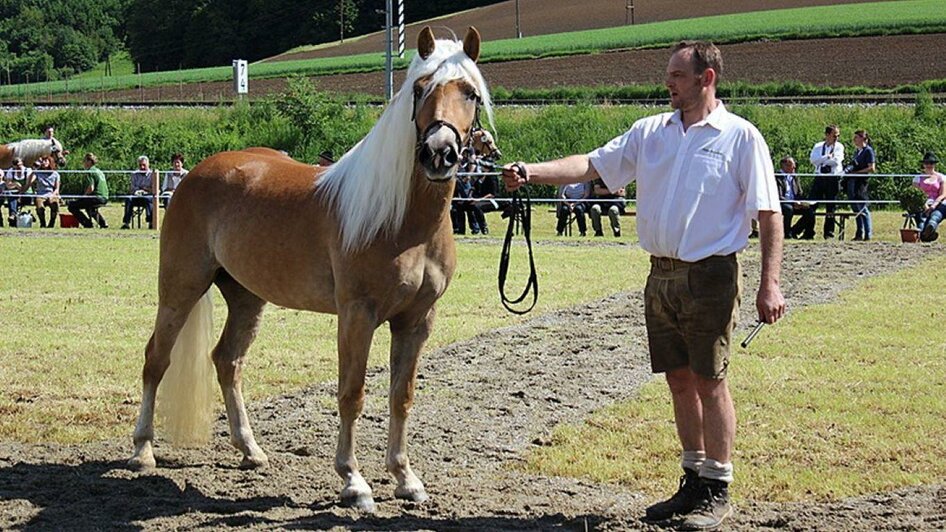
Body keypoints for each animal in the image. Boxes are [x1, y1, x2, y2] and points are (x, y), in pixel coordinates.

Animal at [130, 26, 494, 512]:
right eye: (420, 89)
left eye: (470, 93)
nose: (440, 153)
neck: (404, 219)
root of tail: (196, 173)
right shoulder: (357, 314)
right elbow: (352, 394)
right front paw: (354, 483)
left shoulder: (417, 320)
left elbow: (401, 396)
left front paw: (405, 478)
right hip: (180, 288)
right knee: (157, 359)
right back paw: (143, 451)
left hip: (246, 297)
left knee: (227, 361)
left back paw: (250, 450)